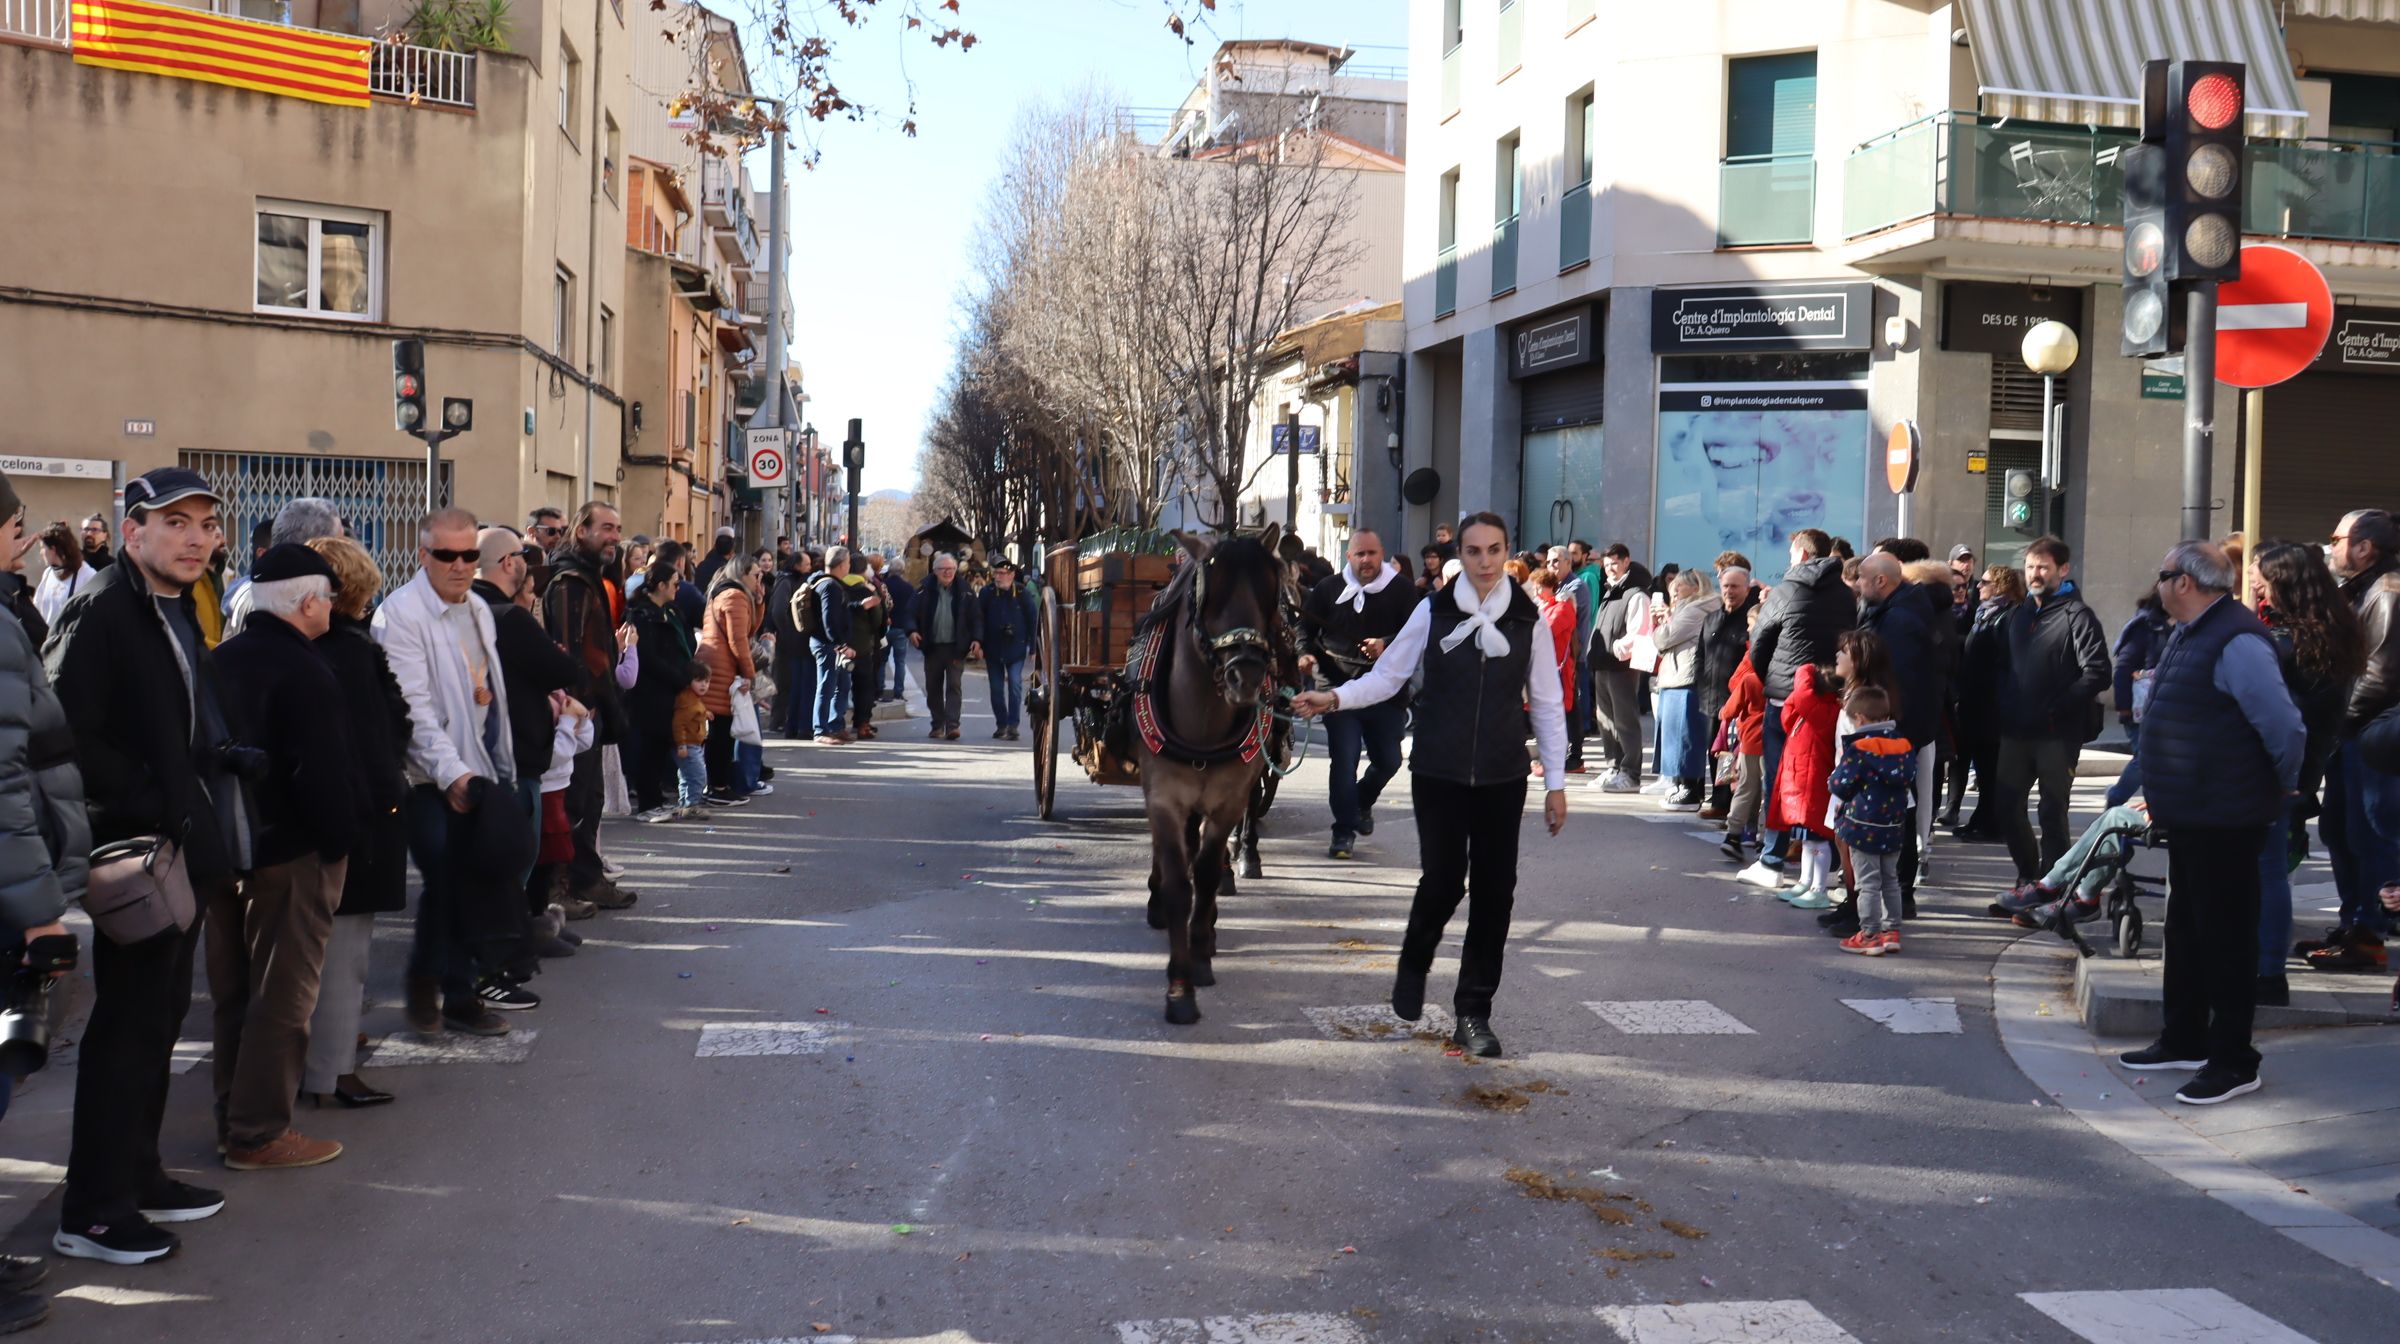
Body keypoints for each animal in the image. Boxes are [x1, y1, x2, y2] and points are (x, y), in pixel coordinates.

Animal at [1128, 525, 1286, 1027]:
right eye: (1209, 595)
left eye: (1270, 593)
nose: (1245, 675)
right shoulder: (1163, 799)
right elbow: (1180, 884)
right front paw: (1179, 989)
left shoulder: (1229, 800)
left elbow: (1207, 871)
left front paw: (1198, 954)